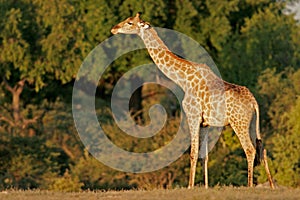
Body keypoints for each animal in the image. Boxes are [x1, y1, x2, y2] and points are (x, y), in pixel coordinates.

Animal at [112, 12, 274, 189]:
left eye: (130, 22)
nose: (114, 29)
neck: (183, 80)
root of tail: (253, 102)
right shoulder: (205, 123)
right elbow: (204, 155)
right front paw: (206, 186)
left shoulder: (192, 115)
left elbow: (193, 152)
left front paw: (190, 186)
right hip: (252, 123)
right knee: (262, 149)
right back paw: (272, 185)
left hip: (239, 122)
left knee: (250, 150)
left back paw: (250, 185)